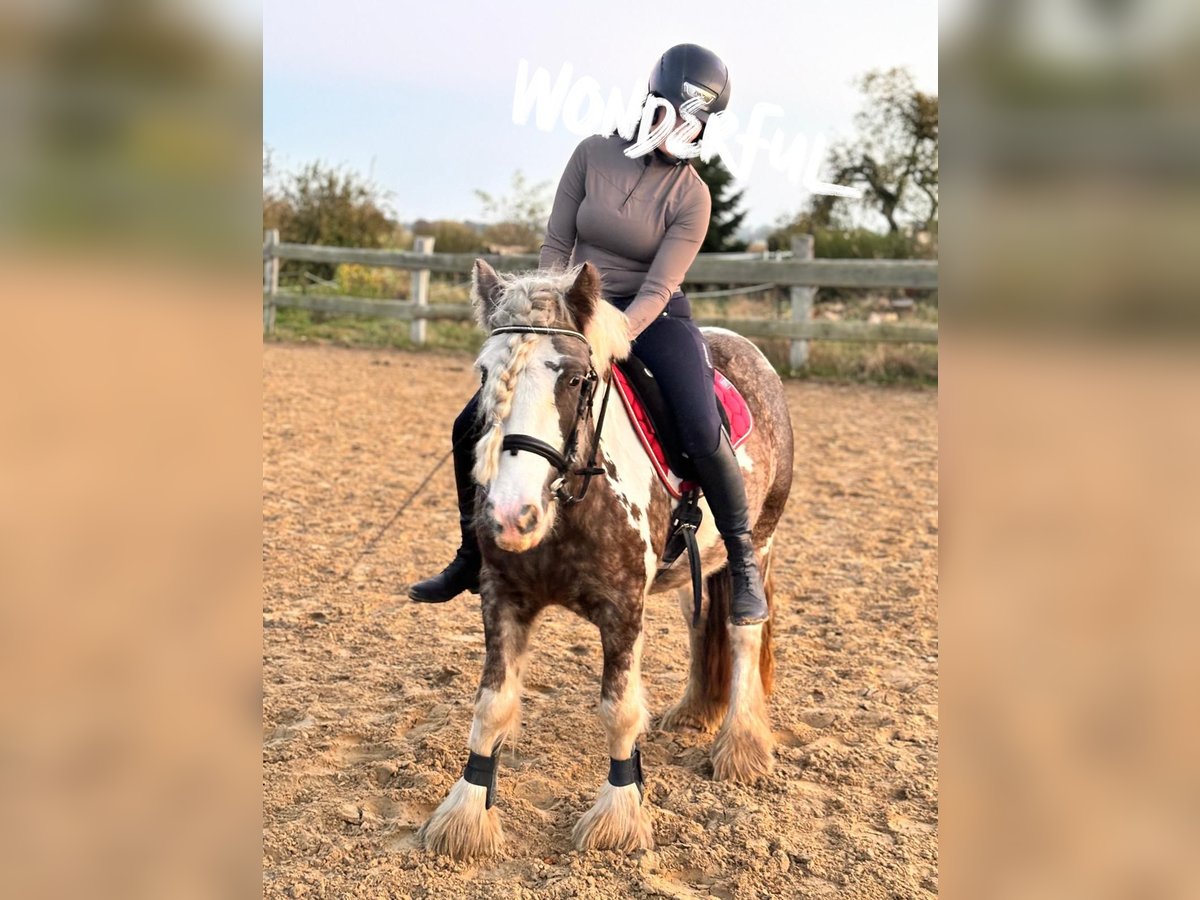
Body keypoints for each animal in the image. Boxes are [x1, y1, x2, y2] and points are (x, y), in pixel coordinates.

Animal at [417, 259, 792, 859]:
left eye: (574, 379)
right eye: (484, 374)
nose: (510, 515)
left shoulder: (622, 610)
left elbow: (619, 710)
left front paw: (618, 816)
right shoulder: (502, 598)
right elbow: (491, 705)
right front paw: (466, 817)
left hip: (757, 542)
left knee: (742, 631)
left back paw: (740, 746)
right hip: (696, 569)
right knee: (700, 623)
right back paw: (693, 711)